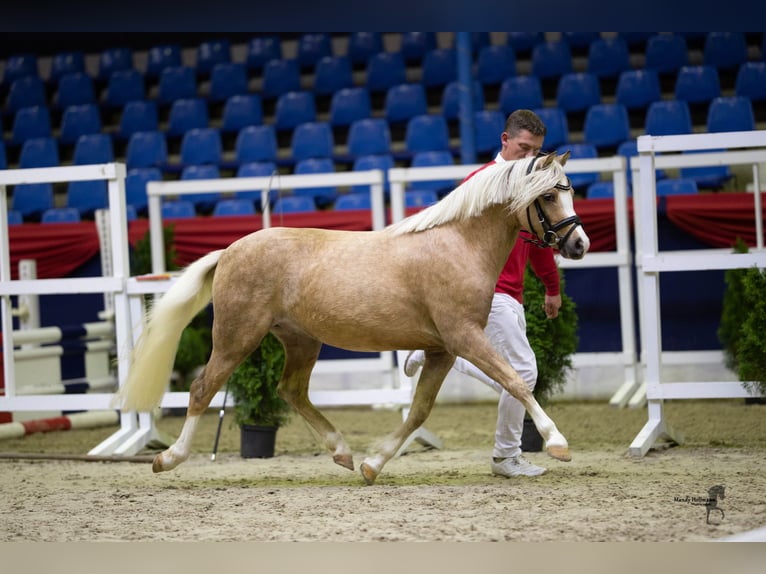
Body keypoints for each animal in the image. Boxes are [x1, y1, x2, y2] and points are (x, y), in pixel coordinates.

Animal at [117, 150, 592, 486]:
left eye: (569, 191)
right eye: (548, 195)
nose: (579, 244)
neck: (457, 244)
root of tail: (230, 251)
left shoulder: (442, 350)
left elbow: (418, 412)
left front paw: (372, 465)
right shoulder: (465, 337)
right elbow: (515, 381)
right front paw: (558, 443)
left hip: (300, 341)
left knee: (290, 391)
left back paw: (342, 451)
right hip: (238, 336)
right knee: (202, 389)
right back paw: (167, 459)